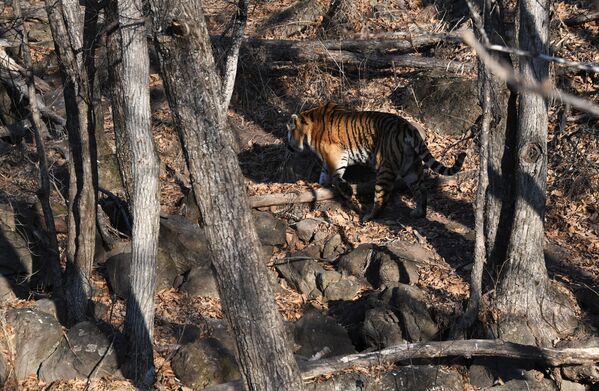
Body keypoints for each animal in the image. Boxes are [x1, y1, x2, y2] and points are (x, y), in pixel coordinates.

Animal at [288, 102, 468, 222]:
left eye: (289, 133)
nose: (288, 147)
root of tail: (408, 127)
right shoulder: (330, 158)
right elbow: (325, 174)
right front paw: (322, 185)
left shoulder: (336, 154)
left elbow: (335, 176)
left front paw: (346, 191)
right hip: (410, 168)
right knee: (421, 190)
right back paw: (419, 213)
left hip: (385, 168)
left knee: (382, 198)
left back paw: (368, 217)